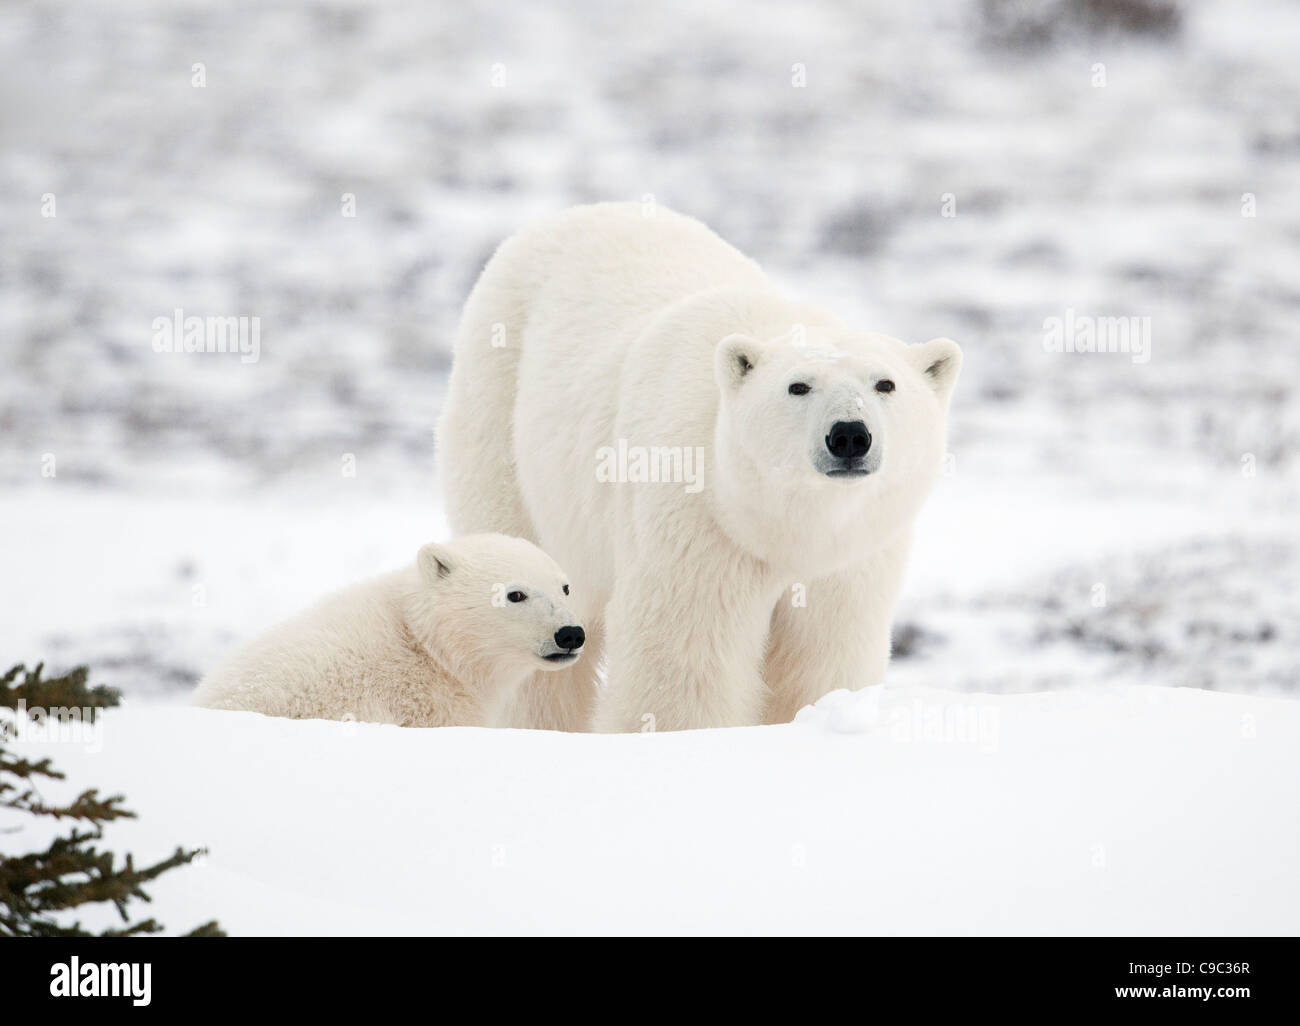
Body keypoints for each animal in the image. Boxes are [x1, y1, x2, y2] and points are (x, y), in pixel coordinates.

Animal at [436, 201, 956, 728]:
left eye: (885, 384)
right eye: (798, 386)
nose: (849, 434)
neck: (780, 525)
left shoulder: (852, 557)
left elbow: (826, 651)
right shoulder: (695, 520)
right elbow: (683, 647)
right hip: (501, 418)